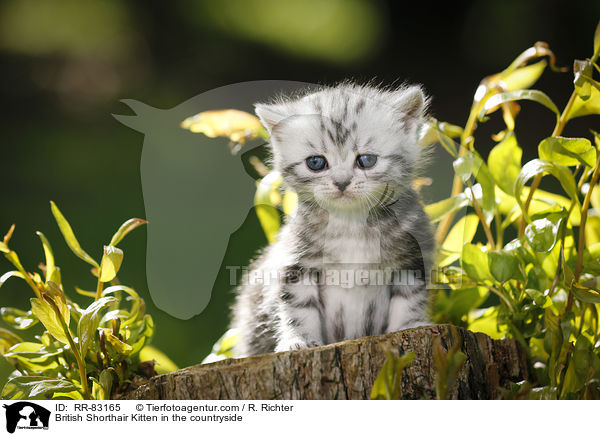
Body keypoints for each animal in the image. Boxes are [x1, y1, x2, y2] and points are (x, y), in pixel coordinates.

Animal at [229, 82, 432, 358]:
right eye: (316, 162)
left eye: (366, 160)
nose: (341, 182)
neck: (350, 224)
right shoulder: (295, 263)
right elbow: (298, 307)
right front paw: (298, 340)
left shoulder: (411, 259)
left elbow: (409, 300)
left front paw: (409, 326)